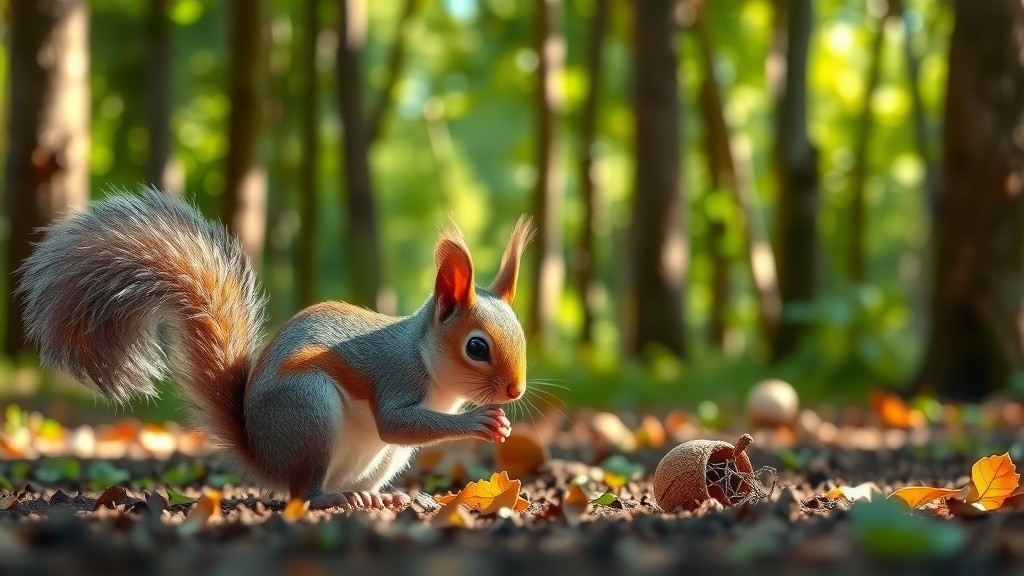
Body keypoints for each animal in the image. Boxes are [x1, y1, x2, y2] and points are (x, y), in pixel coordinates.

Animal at [18, 188, 535, 510]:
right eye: (476, 347)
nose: (515, 391)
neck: (431, 367)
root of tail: (266, 457)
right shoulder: (395, 374)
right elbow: (394, 421)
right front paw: (478, 422)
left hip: (381, 458)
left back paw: (381, 497)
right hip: (310, 412)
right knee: (303, 493)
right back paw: (332, 498)